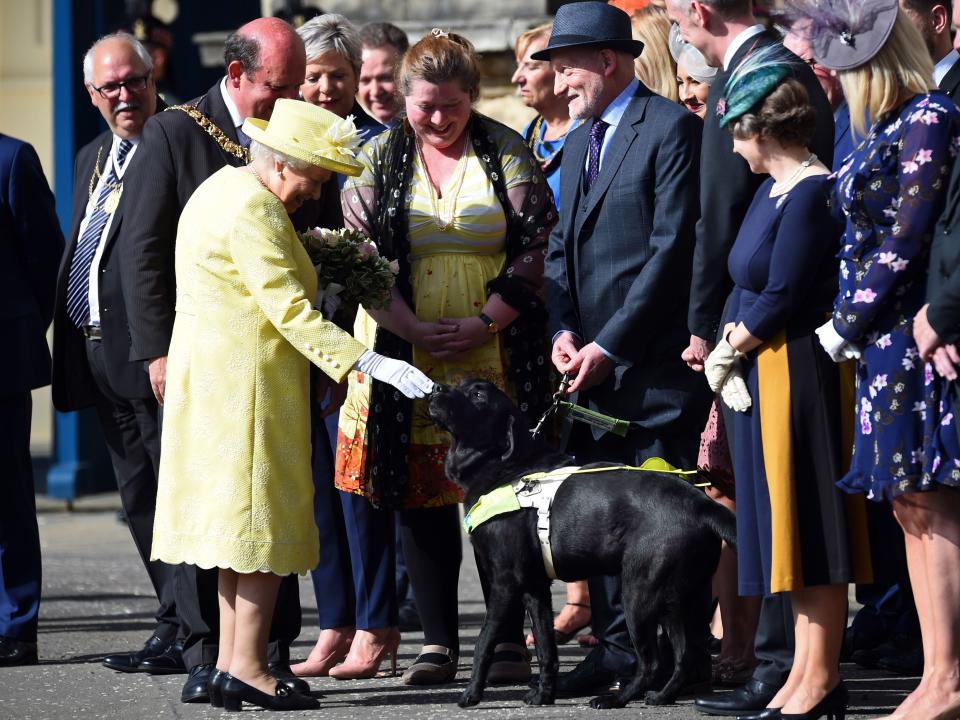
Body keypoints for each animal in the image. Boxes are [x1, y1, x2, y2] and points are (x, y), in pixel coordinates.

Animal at [428, 376, 736, 708]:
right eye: (461, 385)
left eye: (478, 395)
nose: (435, 389)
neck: (508, 468)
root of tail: (701, 505)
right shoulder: (536, 589)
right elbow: (546, 647)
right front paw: (544, 694)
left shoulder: (505, 583)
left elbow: (484, 641)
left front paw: (470, 694)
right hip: (679, 600)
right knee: (684, 656)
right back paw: (661, 696)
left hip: (640, 593)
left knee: (651, 662)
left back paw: (616, 699)